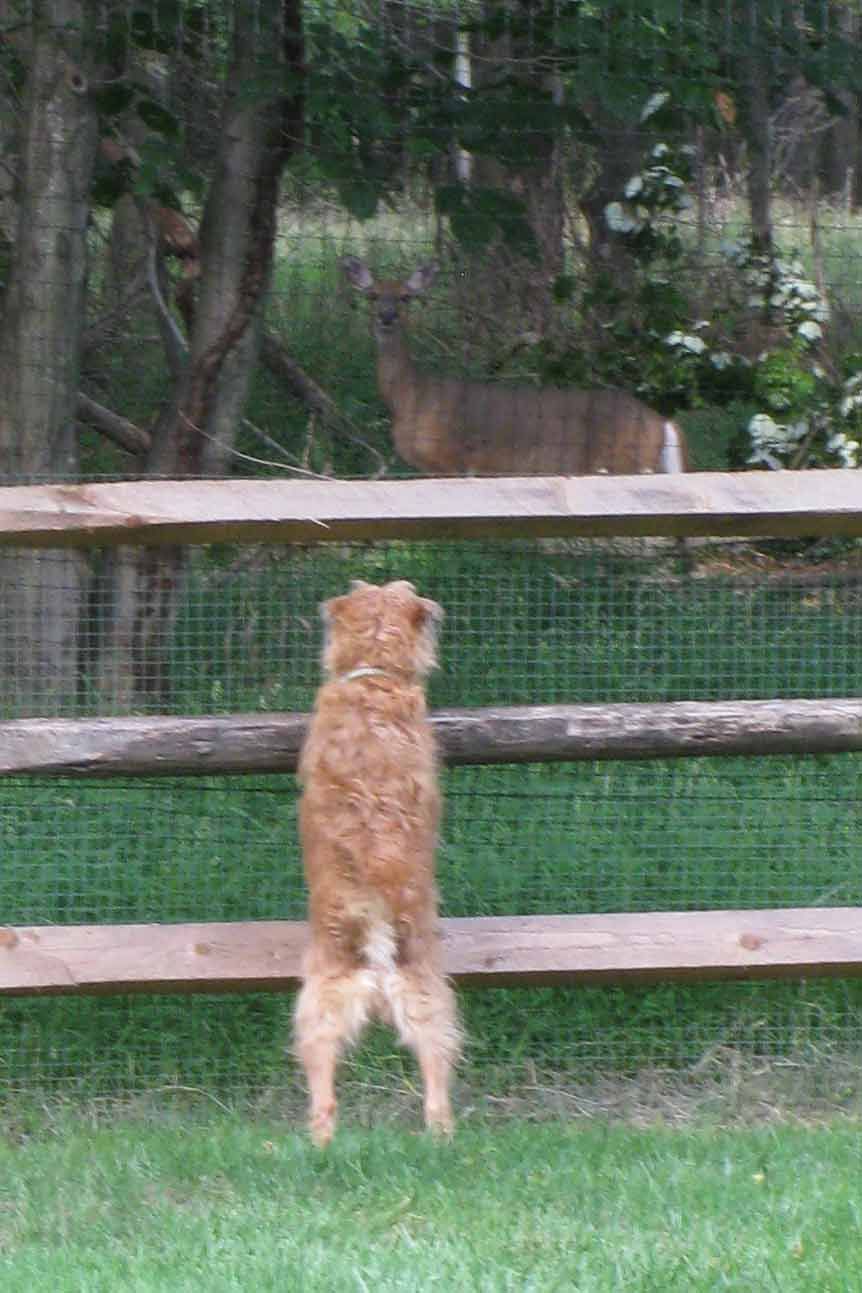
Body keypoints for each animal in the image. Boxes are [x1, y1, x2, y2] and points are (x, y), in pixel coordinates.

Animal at [342, 257, 688, 477]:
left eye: (405, 297)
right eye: (372, 295)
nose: (386, 317)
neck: (412, 397)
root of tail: (661, 422)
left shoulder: (451, 460)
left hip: (625, 462)